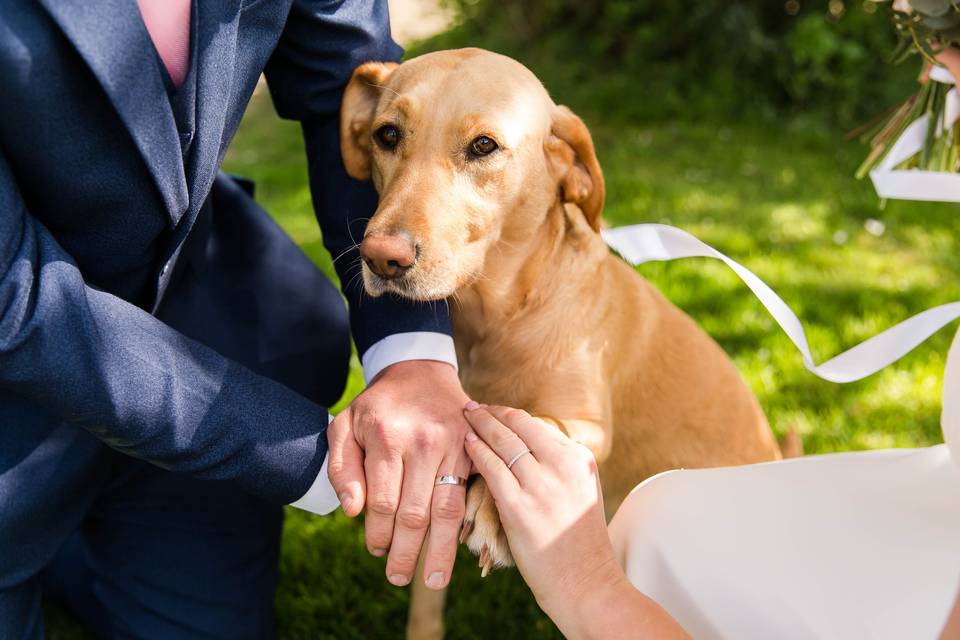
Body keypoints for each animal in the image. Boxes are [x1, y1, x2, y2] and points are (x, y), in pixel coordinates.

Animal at [342, 47, 784, 636]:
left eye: (483, 146)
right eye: (387, 135)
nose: (380, 258)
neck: (493, 320)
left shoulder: (586, 424)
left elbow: (541, 425)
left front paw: (494, 509)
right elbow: (426, 593)